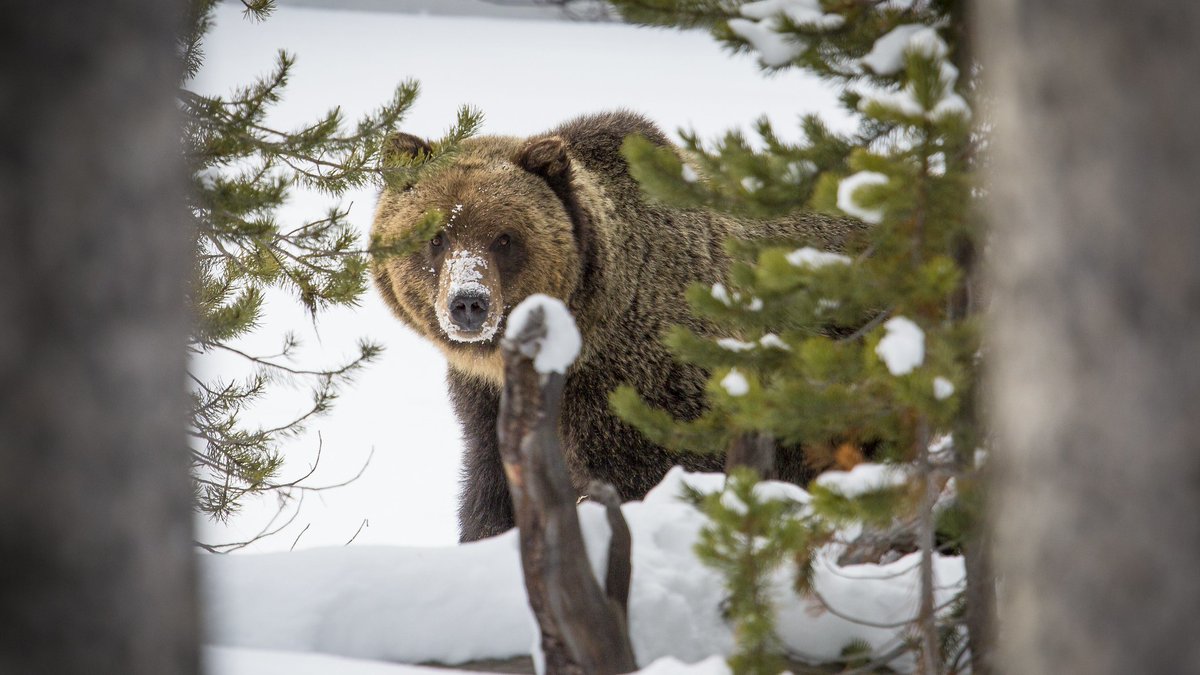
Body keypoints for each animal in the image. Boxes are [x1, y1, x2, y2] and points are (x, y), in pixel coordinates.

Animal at [371, 111, 863, 542]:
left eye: (504, 238)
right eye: (436, 237)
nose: (469, 302)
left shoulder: (640, 391)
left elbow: (640, 481)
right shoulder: (486, 404)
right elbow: (491, 495)